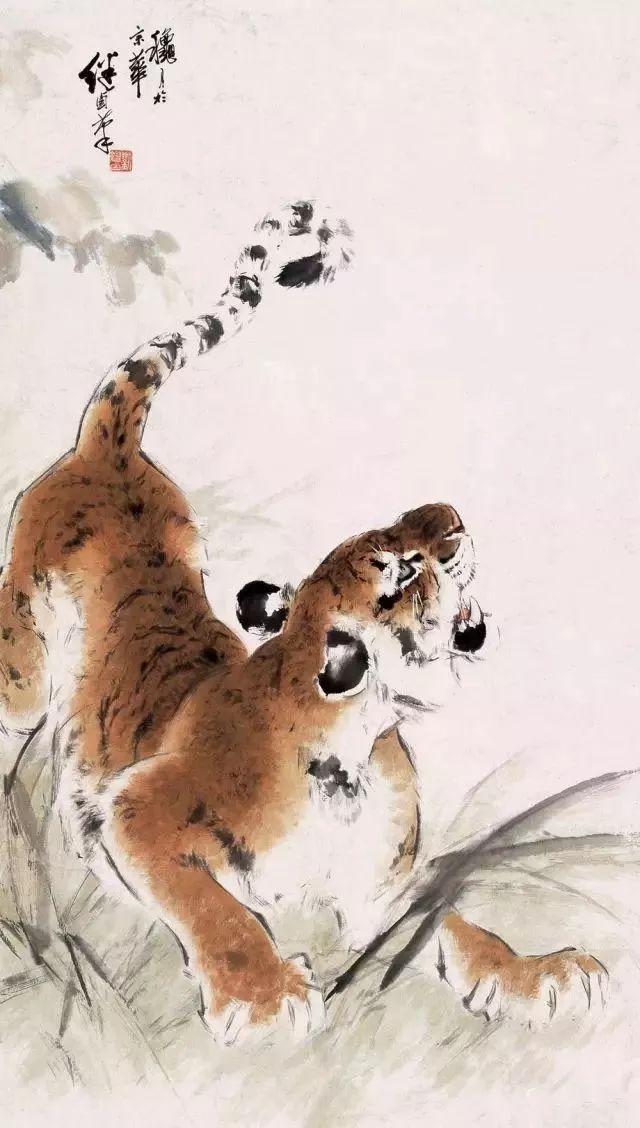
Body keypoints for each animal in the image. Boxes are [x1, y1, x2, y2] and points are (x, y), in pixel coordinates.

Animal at [0, 199, 607, 1047]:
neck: (352, 746)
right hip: (21, 675)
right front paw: (262, 996)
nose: (451, 517)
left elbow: (452, 924)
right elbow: (213, 907)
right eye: (400, 568)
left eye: (411, 528)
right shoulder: (139, 808)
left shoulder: (377, 900)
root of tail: (107, 449)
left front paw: (541, 975)